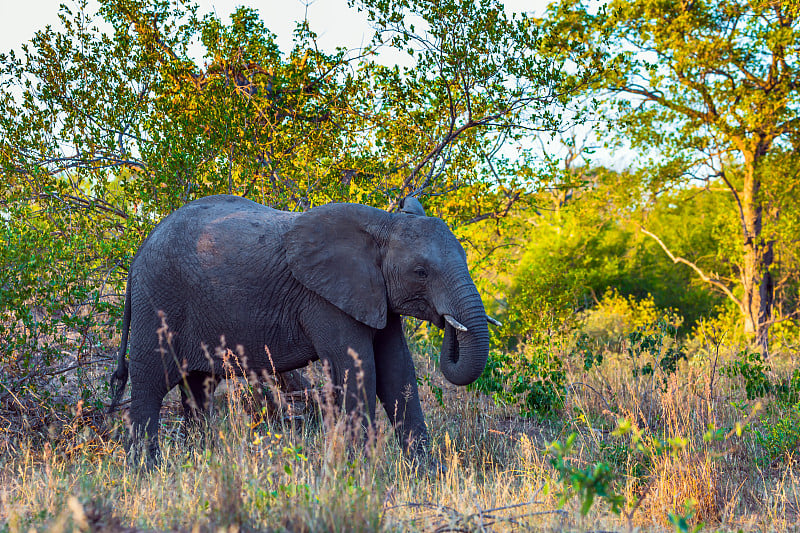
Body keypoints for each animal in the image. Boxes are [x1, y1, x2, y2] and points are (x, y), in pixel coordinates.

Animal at [106, 194, 494, 462]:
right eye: (421, 272)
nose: (448, 322)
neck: (383, 224)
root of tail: (138, 253)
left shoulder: (375, 294)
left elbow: (398, 375)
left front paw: (425, 474)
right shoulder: (323, 299)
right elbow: (359, 373)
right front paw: (362, 478)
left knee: (198, 390)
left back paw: (200, 464)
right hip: (158, 301)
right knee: (151, 385)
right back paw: (147, 471)